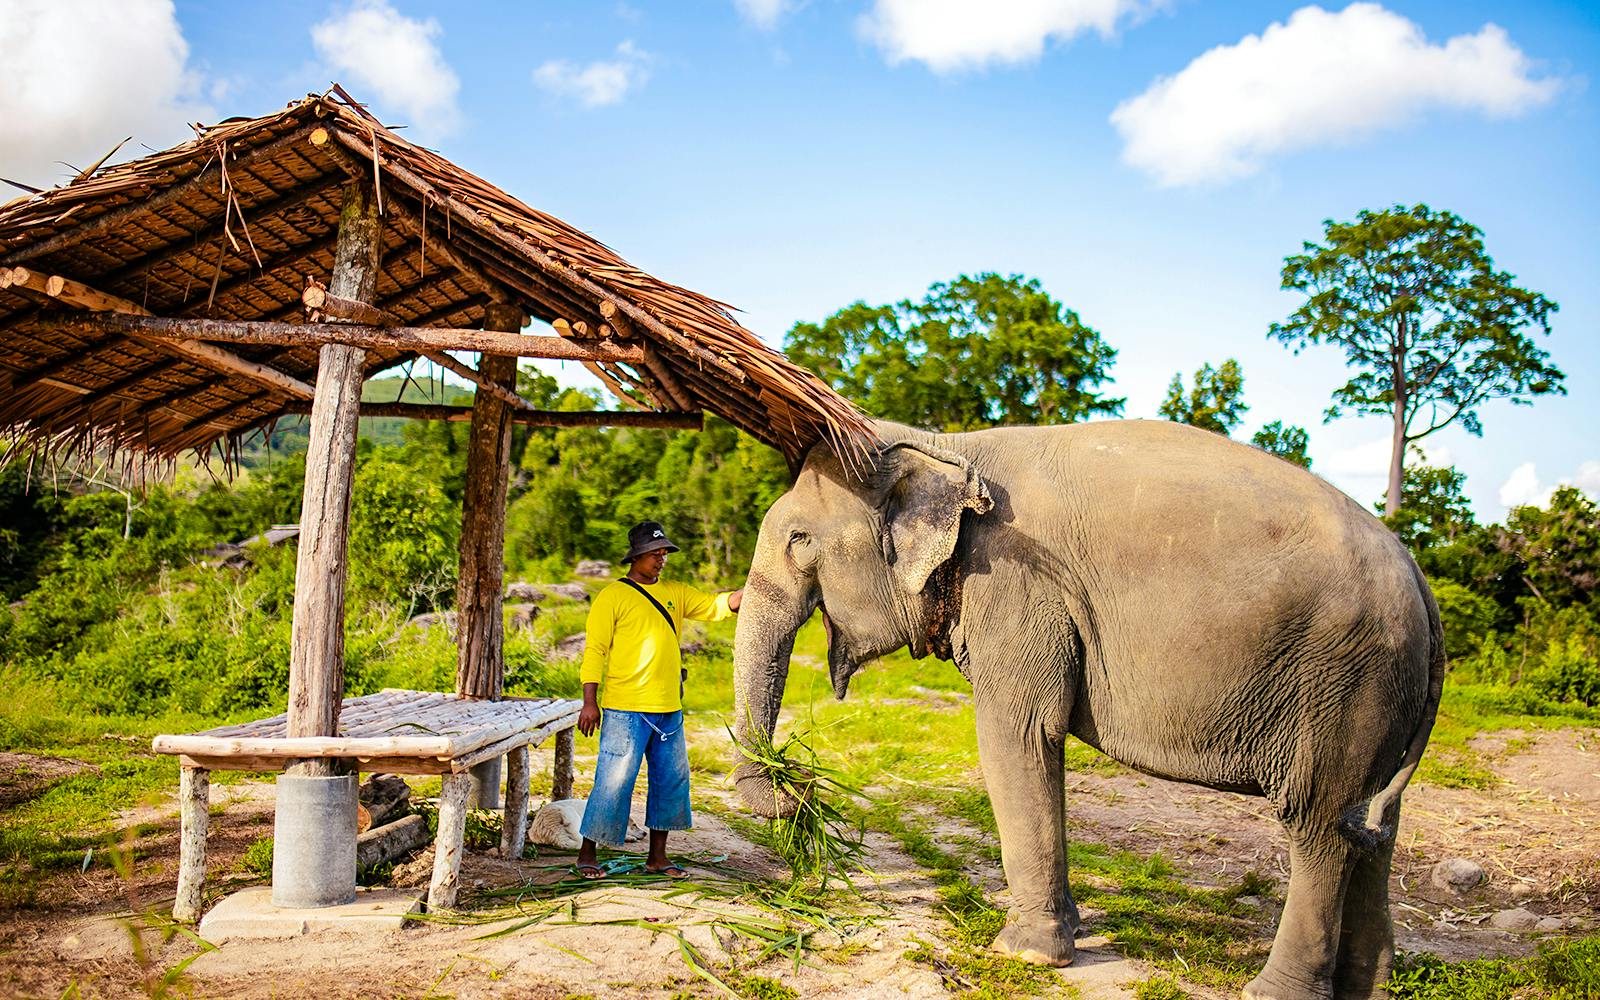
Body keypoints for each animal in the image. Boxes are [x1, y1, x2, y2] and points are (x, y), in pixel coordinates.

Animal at [730, 419, 1443, 1000]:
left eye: (799, 539)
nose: (799, 791)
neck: (946, 446)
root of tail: (1418, 576)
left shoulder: (1016, 587)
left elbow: (1017, 736)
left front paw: (1026, 954)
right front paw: (1065, 932)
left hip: (1345, 683)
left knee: (1317, 824)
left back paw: (1275, 991)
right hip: (1381, 696)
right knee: (1369, 827)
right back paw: (1369, 988)